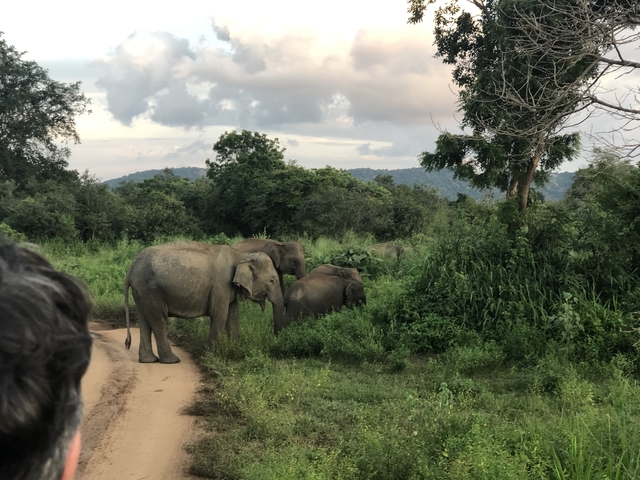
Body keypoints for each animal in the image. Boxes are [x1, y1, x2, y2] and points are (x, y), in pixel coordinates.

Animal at [124, 241, 283, 364]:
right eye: (272, 281)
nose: (275, 338)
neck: (241, 255)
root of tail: (132, 266)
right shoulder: (221, 284)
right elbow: (219, 315)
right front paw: (212, 356)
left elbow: (233, 316)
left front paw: (236, 349)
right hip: (151, 291)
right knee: (158, 321)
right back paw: (172, 360)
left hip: (141, 292)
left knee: (144, 321)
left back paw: (148, 360)